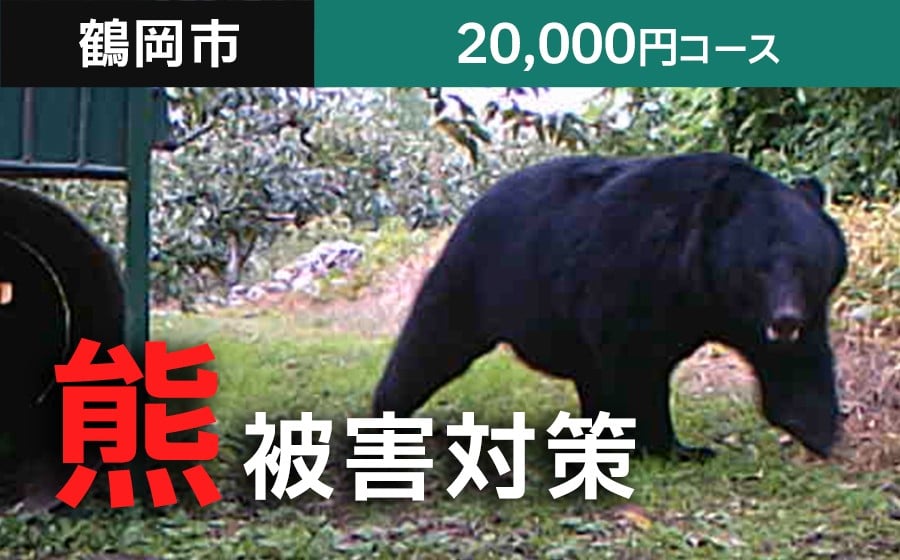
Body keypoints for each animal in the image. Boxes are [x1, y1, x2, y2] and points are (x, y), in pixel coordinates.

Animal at [371, 152, 848, 460]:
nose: (785, 319)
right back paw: (387, 412)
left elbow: (799, 361)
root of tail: (478, 201)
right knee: (433, 340)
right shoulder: (631, 277)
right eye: (760, 269)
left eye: (807, 266)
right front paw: (663, 446)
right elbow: (636, 365)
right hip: (480, 275)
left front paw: (817, 429)